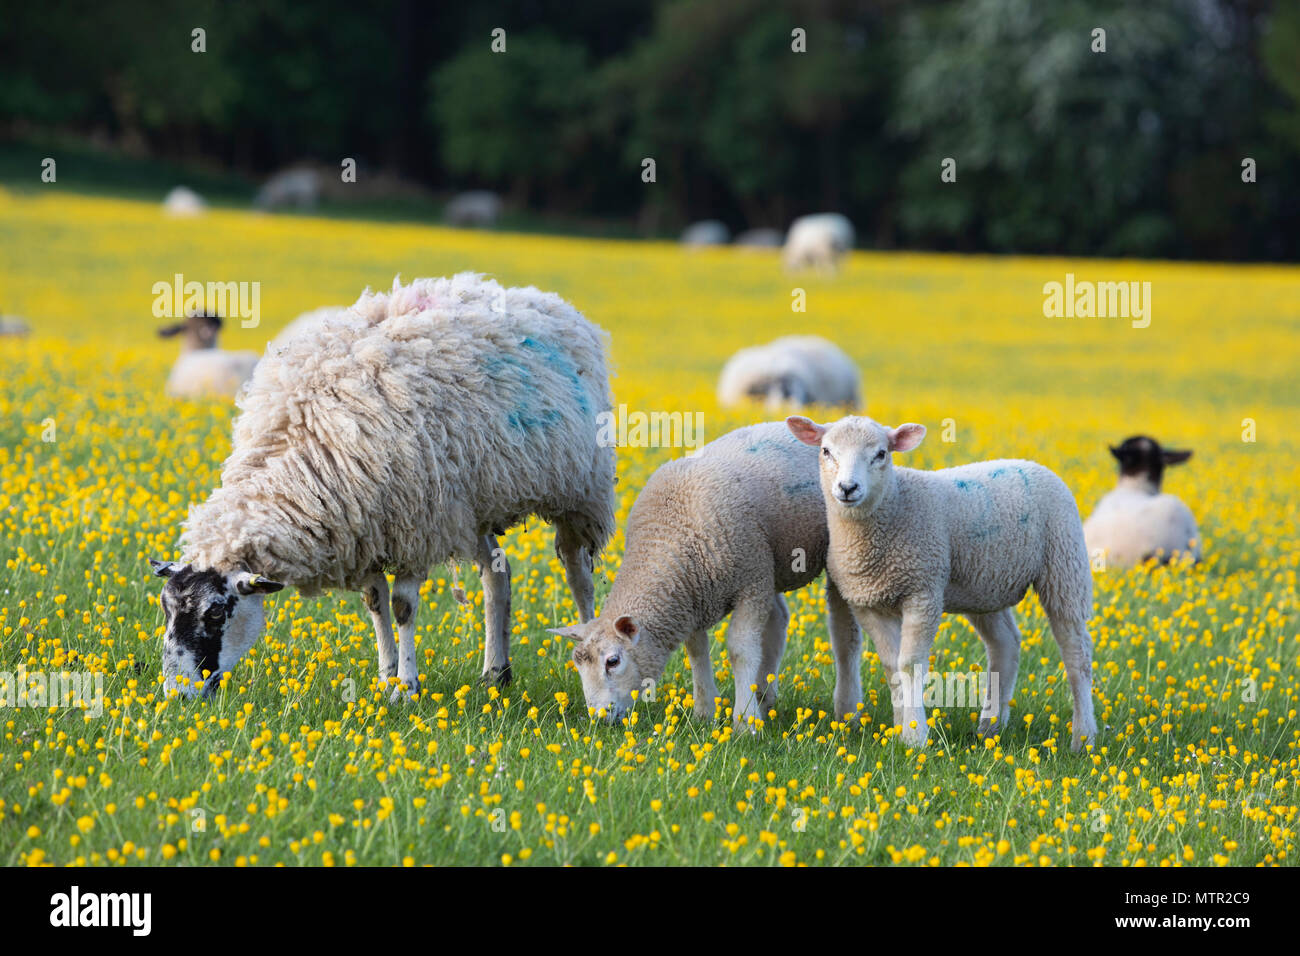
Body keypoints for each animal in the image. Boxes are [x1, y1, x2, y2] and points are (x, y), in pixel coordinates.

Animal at [149, 270, 616, 702]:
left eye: (215, 615)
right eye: (166, 609)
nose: (176, 695)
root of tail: (548, 300)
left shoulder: (416, 526)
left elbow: (403, 607)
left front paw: (406, 688)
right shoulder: (367, 527)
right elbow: (376, 603)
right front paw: (385, 677)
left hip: (581, 493)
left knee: (579, 576)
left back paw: (588, 655)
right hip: (473, 504)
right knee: (497, 577)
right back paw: (495, 674)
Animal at [551, 421, 863, 728]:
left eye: (613, 661)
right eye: (578, 664)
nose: (599, 718)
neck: (666, 537)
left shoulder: (751, 583)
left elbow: (740, 650)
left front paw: (745, 721)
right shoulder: (691, 594)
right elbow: (696, 650)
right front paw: (705, 711)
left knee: (844, 635)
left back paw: (847, 711)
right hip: (768, 563)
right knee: (778, 620)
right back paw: (765, 697)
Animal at [785, 416, 1102, 749]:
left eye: (881, 454)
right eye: (826, 450)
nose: (848, 488)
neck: (894, 506)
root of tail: (1032, 464)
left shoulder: (922, 591)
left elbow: (909, 665)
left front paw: (915, 736)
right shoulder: (868, 602)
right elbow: (891, 666)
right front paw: (900, 731)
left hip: (1065, 566)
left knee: (1077, 653)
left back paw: (1083, 737)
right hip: (985, 586)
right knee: (1005, 644)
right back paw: (990, 727)